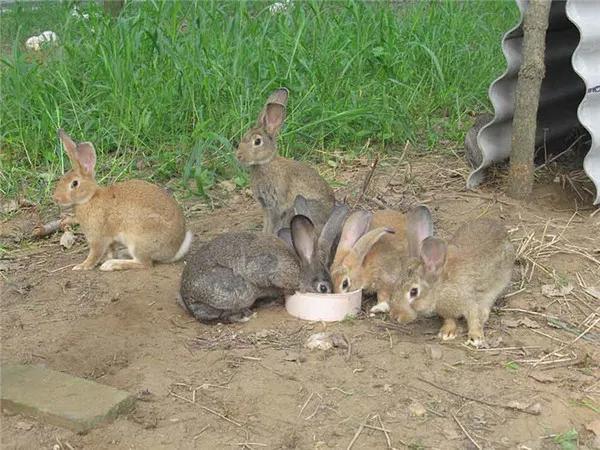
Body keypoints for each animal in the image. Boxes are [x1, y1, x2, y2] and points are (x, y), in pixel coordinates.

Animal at [53, 128, 191, 272]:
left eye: (74, 184)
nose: (56, 199)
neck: (89, 199)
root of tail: (174, 251)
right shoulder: (110, 241)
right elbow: (110, 250)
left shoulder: (98, 239)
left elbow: (94, 255)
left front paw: (82, 266)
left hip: (138, 240)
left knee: (145, 263)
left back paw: (112, 264)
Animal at [236, 88, 338, 236]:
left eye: (257, 141)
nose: (238, 156)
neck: (265, 164)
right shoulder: (265, 206)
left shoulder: (275, 204)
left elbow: (272, 225)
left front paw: (268, 236)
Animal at [390, 218, 516, 348]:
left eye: (413, 292)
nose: (394, 316)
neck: (440, 288)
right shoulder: (446, 312)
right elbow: (449, 319)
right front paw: (447, 332)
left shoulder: (469, 300)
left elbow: (474, 318)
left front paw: (476, 337)